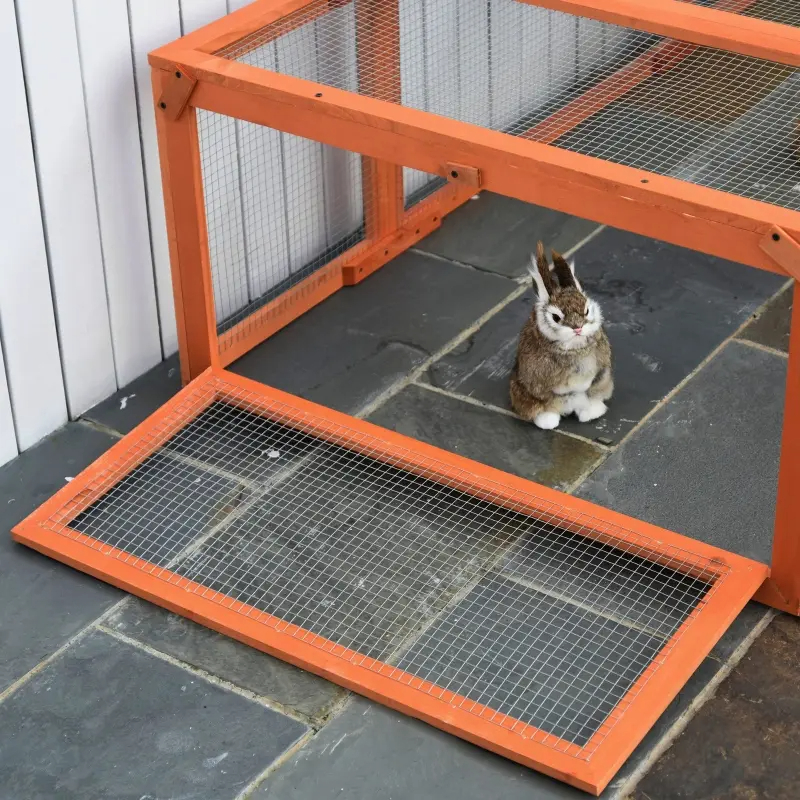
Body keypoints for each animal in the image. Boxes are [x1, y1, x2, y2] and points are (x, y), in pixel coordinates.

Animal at [510, 242, 613, 430]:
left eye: (586, 311)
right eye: (556, 318)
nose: (578, 328)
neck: (575, 347)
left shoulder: (600, 370)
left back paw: (591, 413)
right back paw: (548, 421)